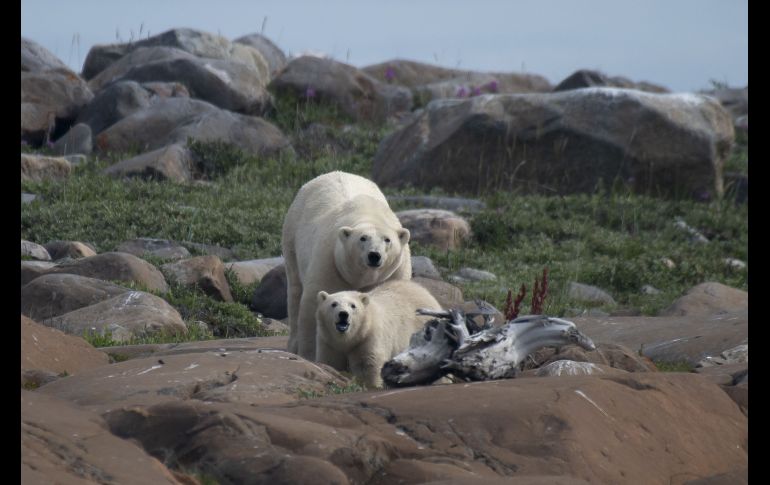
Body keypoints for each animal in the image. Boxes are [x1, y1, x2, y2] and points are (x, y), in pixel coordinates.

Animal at [282, 171, 412, 361]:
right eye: (363, 238)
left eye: (387, 240)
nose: (374, 255)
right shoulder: (330, 261)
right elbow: (314, 305)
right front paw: (311, 356)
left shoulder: (396, 272)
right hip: (292, 234)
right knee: (295, 289)